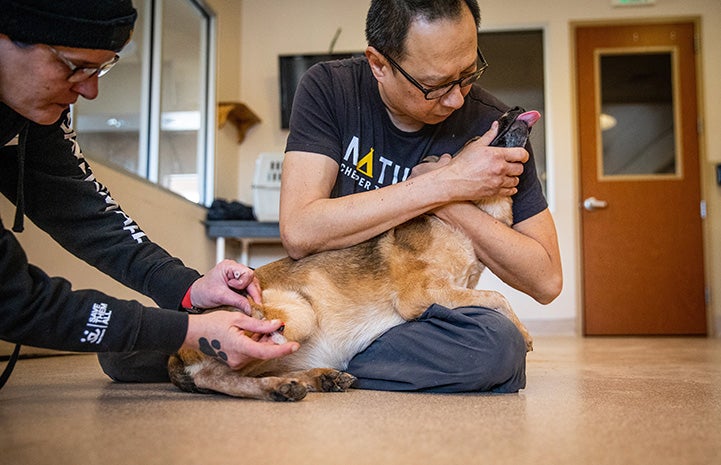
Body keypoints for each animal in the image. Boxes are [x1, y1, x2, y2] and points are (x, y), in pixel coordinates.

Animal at [170, 107, 540, 400]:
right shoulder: (422, 294)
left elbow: (490, 295)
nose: (515, 108)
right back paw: (278, 388)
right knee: (217, 376)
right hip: (296, 315)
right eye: (478, 137)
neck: (465, 223)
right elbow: (496, 297)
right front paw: (523, 333)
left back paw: (315, 378)